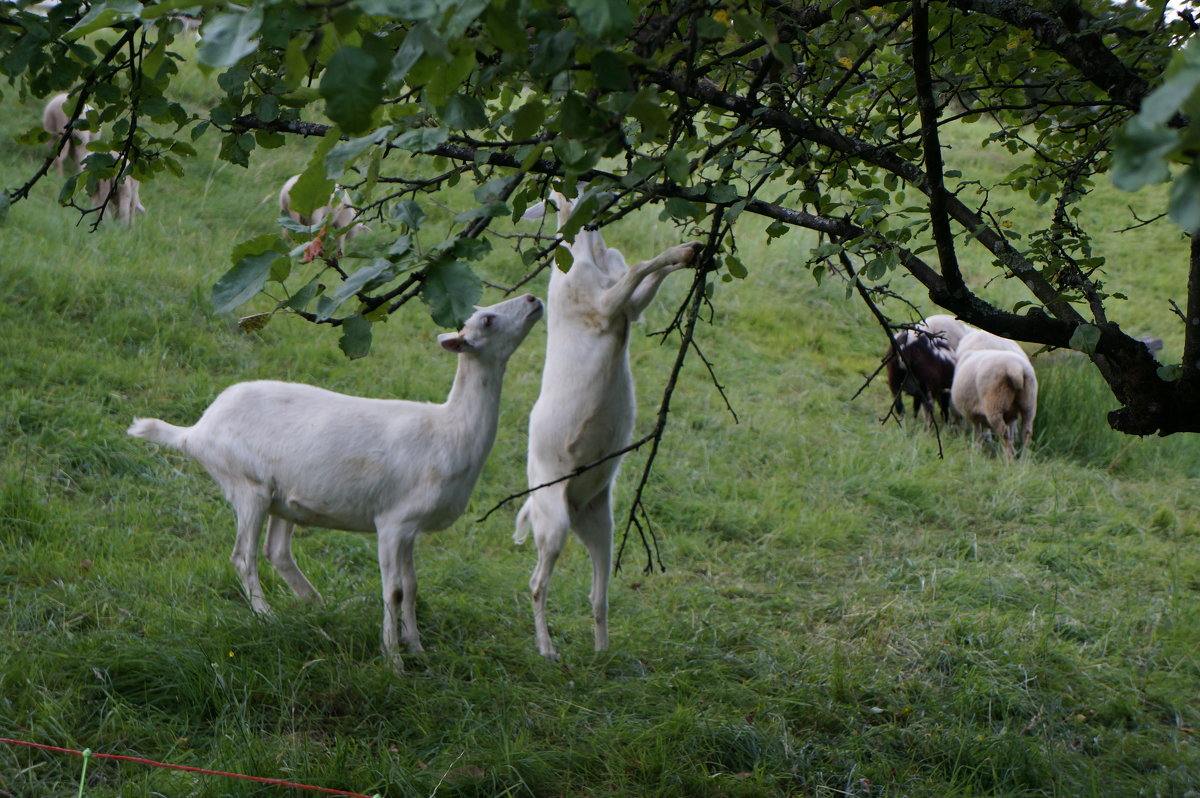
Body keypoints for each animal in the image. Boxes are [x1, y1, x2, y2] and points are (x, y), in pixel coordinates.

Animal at [124, 292, 542, 667]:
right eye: (486, 319)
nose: (534, 299)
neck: (449, 432)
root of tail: (195, 431)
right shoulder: (392, 521)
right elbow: (393, 591)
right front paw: (393, 661)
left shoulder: (411, 526)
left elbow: (411, 588)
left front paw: (418, 649)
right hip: (246, 484)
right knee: (243, 557)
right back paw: (268, 616)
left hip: (282, 500)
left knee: (277, 551)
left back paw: (317, 608)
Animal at [518, 188, 700, 657]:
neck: (591, 253)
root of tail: (572, 503)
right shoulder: (603, 307)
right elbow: (638, 268)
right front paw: (686, 251)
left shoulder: (628, 309)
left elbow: (644, 274)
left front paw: (690, 252)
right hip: (554, 522)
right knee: (536, 583)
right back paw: (546, 649)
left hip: (600, 524)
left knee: (597, 594)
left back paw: (602, 652)